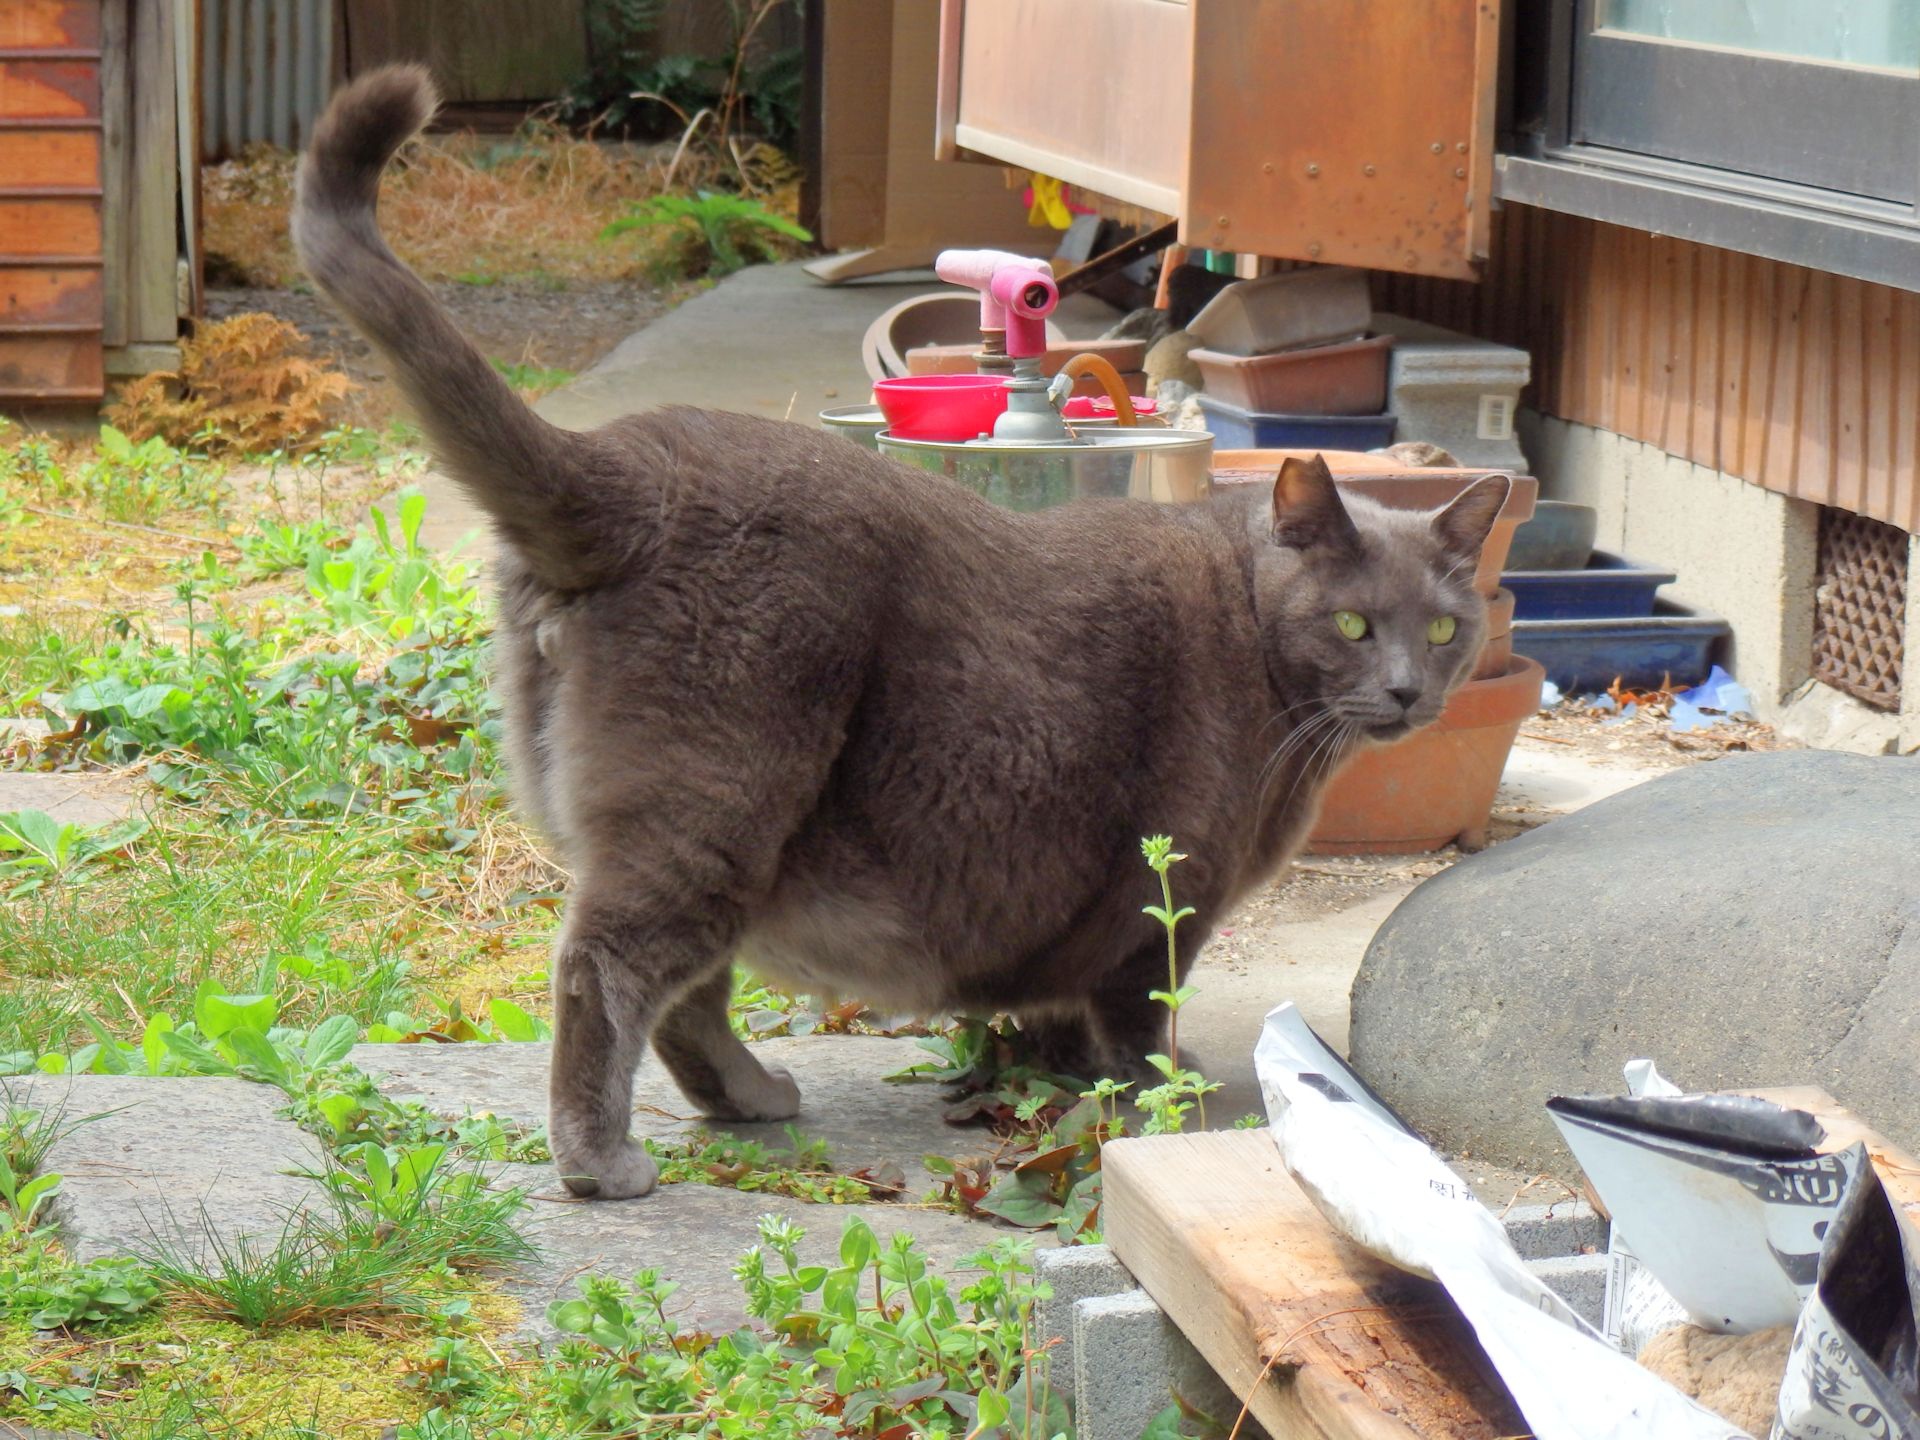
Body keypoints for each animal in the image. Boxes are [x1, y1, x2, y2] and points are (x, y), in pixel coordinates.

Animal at [291, 67, 1505, 1198]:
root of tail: (623, 464)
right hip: (717, 788)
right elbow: (1136, 1004)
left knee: (690, 992)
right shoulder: (1167, 887)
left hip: (722, 826)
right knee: (609, 967)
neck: (1264, 660)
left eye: (1447, 629)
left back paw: (749, 1098)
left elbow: (1058, 1005)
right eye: (1354, 623)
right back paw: (602, 1160)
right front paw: (1158, 1088)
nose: (1410, 688)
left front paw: (1049, 1069)